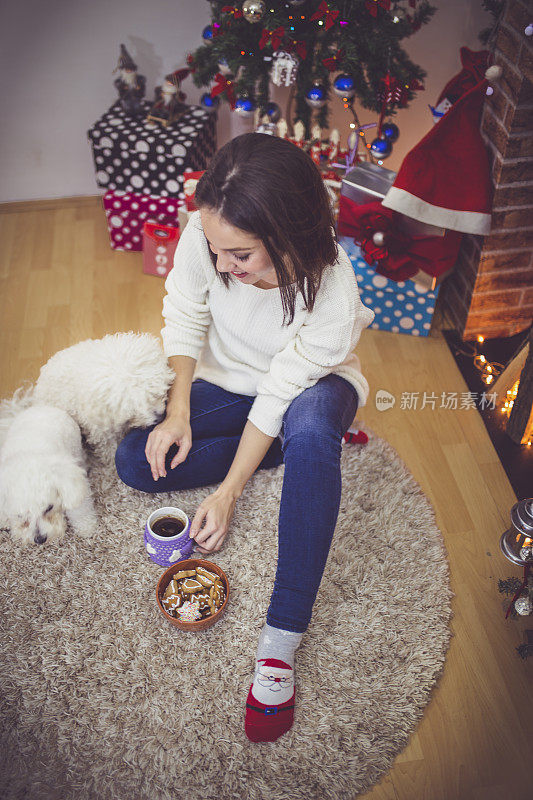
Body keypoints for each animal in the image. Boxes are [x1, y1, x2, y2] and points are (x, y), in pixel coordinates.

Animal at [0, 404, 96, 548]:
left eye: (49, 507)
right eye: (20, 515)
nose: (40, 539)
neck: (28, 456)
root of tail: (42, 406)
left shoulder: (70, 479)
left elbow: (79, 508)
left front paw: (86, 527)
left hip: (76, 448)